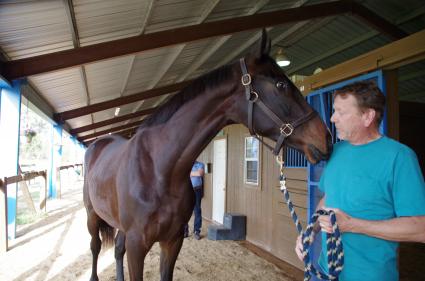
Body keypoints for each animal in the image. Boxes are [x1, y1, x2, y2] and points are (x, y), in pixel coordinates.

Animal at [83, 29, 332, 278]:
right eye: (280, 84)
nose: (326, 138)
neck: (158, 170)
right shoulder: (137, 246)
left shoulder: (172, 241)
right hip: (92, 216)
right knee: (95, 247)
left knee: (117, 250)